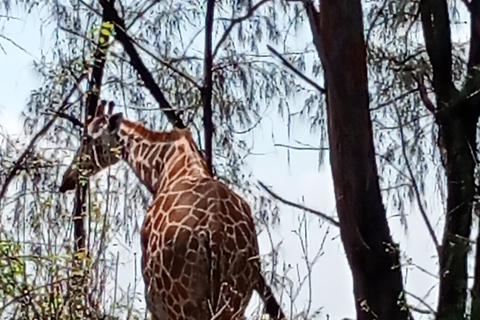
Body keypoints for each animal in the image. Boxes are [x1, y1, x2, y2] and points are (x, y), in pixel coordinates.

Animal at [59, 100, 284, 320]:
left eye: (86, 138)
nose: (66, 180)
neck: (164, 167)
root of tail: (215, 233)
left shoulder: (153, 298)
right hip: (232, 300)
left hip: (181, 303)